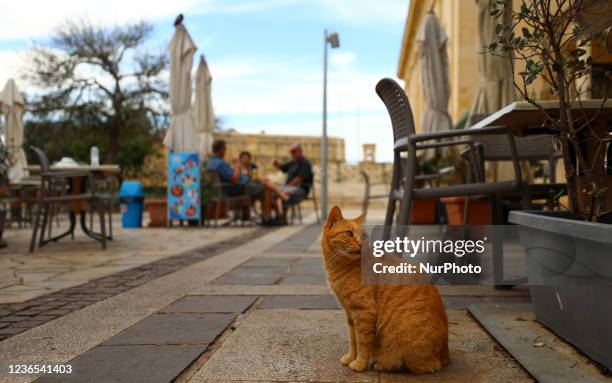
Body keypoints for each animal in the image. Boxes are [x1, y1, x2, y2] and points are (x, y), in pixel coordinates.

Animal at [320, 207, 450, 376]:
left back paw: (383, 364)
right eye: (349, 234)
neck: (341, 266)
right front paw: (350, 358)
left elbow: (362, 343)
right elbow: (353, 340)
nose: (361, 244)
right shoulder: (350, 314)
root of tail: (446, 354)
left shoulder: (364, 313)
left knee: (425, 366)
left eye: (364, 236)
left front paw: (359, 364)